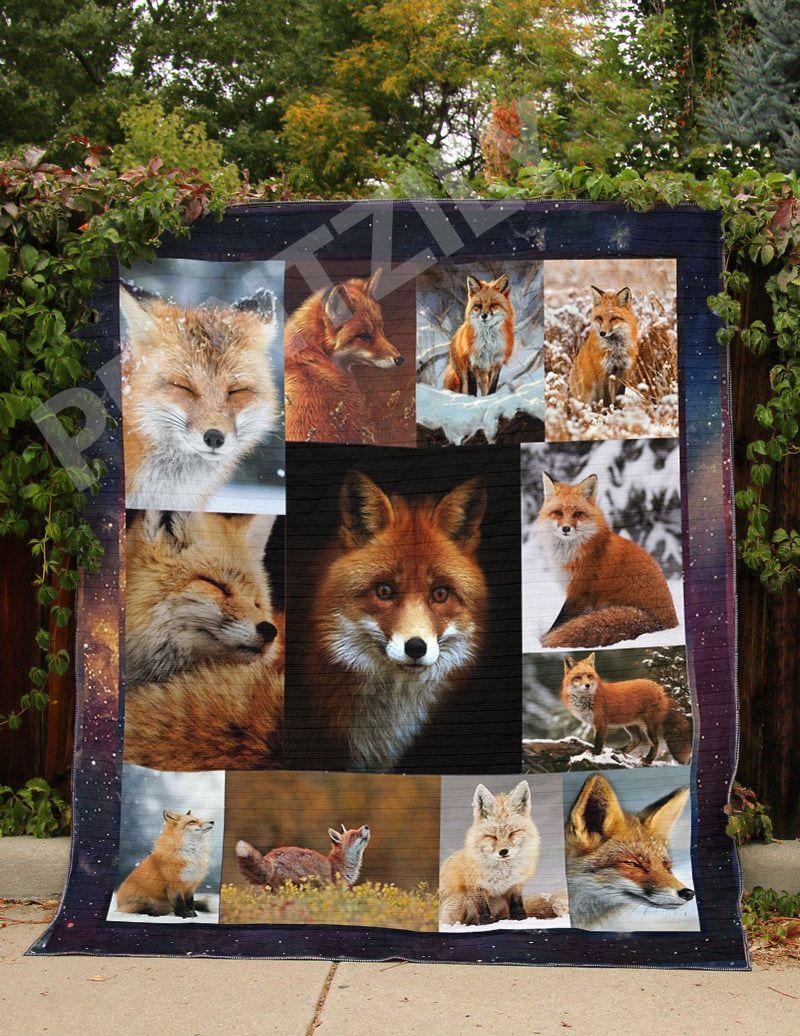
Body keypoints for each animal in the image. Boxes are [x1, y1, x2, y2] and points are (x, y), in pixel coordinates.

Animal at [439, 781, 543, 926]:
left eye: (512, 833)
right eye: (492, 836)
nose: (503, 851)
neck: (502, 873)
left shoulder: (515, 885)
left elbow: (517, 906)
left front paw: (521, 921)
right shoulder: (476, 886)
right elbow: (483, 910)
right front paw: (486, 925)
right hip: (461, 899)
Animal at [536, 472, 678, 648]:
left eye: (577, 514)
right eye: (558, 512)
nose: (566, 528)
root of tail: (665, 625)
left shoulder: (580, 591)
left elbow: (559, 622)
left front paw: (543, 640)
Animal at [562, 653, 692, 765]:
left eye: (589, 676)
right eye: (578, 677)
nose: (587, 685)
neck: (585, 699)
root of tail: (662, 688)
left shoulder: (601, 723)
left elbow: (598, 743)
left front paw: (594, 755)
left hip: (648, 725)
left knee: (655, 742)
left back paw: (648, 760)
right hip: (630, 724)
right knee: (638, 739)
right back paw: (621, 751)